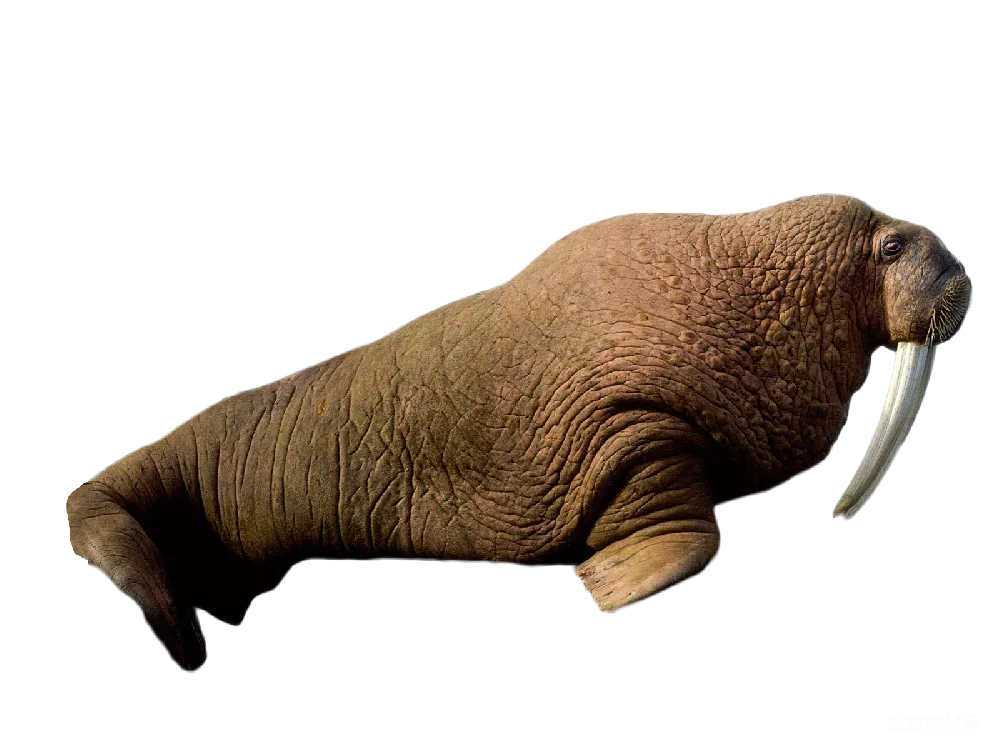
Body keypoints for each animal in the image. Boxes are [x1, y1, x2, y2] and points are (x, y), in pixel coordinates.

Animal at [65, 194, 973, 675]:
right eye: (892, 246)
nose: (957, 274)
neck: (767, 286)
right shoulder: (625, 422)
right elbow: (674, 510)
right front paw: (616, 587)